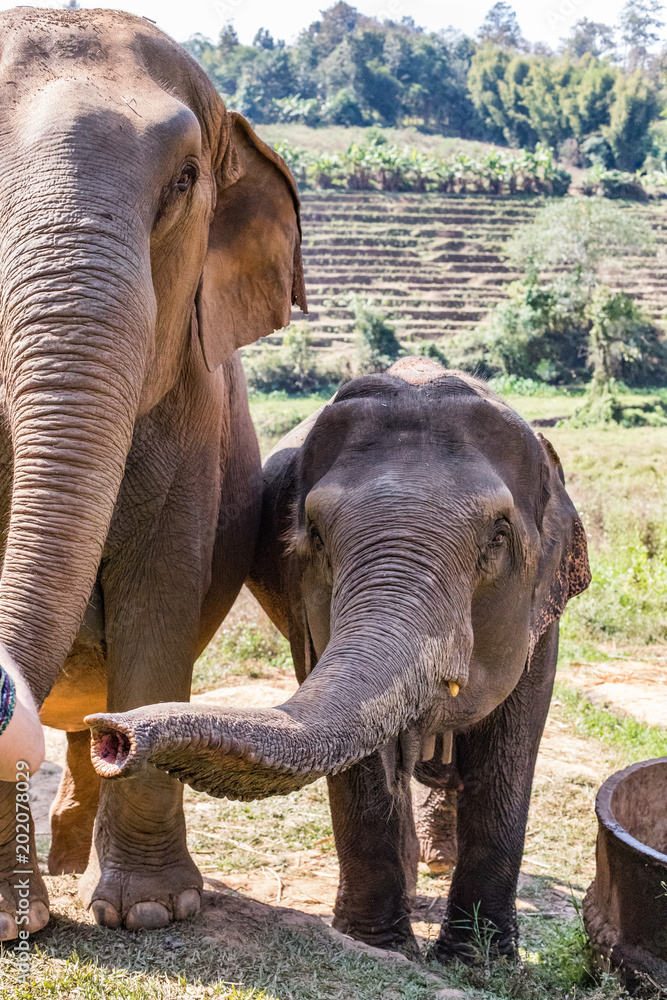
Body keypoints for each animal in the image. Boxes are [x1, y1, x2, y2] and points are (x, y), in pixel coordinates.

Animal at [0, 8, 305, 939]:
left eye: (184, 180)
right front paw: (13, 925)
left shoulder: (191, 414)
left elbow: (159, 605)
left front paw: (151, 913)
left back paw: (75, 863)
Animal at [87, 356, 591, 960]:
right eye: (318, 536)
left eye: (497, 537)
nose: (110, 736)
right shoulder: (304, 605)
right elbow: (365, 762)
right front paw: (380, 946)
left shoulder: (545, 611)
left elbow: (509, 748)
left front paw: (479, 962)